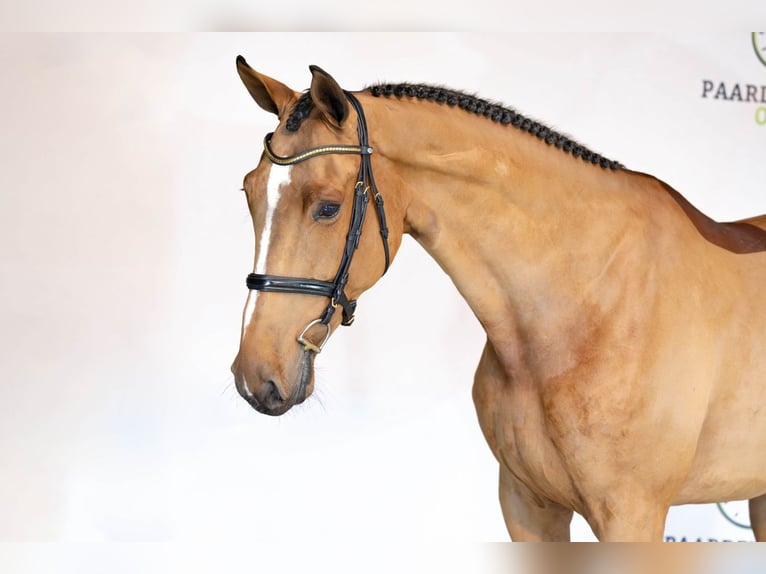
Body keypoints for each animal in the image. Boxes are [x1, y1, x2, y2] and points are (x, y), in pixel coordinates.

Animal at [229, 57, 766, 542]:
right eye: (249, 193)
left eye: (328, 206)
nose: (256, 375)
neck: (585, 302)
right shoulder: (526, 506)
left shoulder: (632, 515)